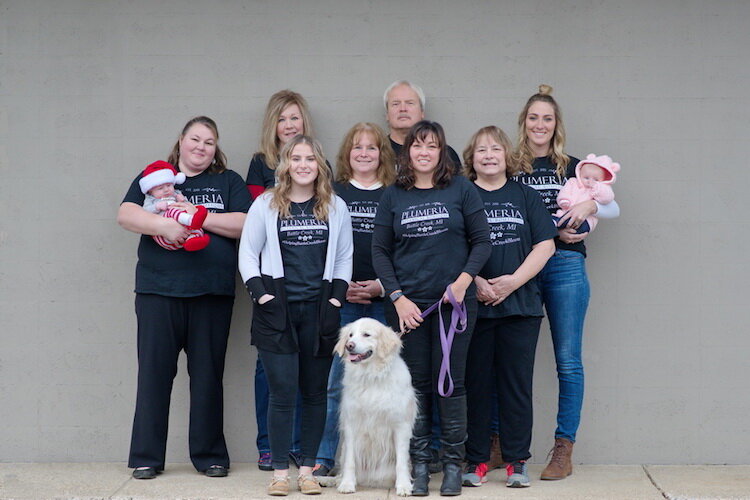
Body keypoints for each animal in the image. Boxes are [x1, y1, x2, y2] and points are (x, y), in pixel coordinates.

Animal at [334, 318, 418, 494]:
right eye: (350, 335)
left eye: (367, 334)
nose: (349, 345)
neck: (371, 376)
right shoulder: (351, 424)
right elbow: (350, 462)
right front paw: (347, 484)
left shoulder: (401, 425)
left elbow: (401, 463)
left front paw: (403, 486)